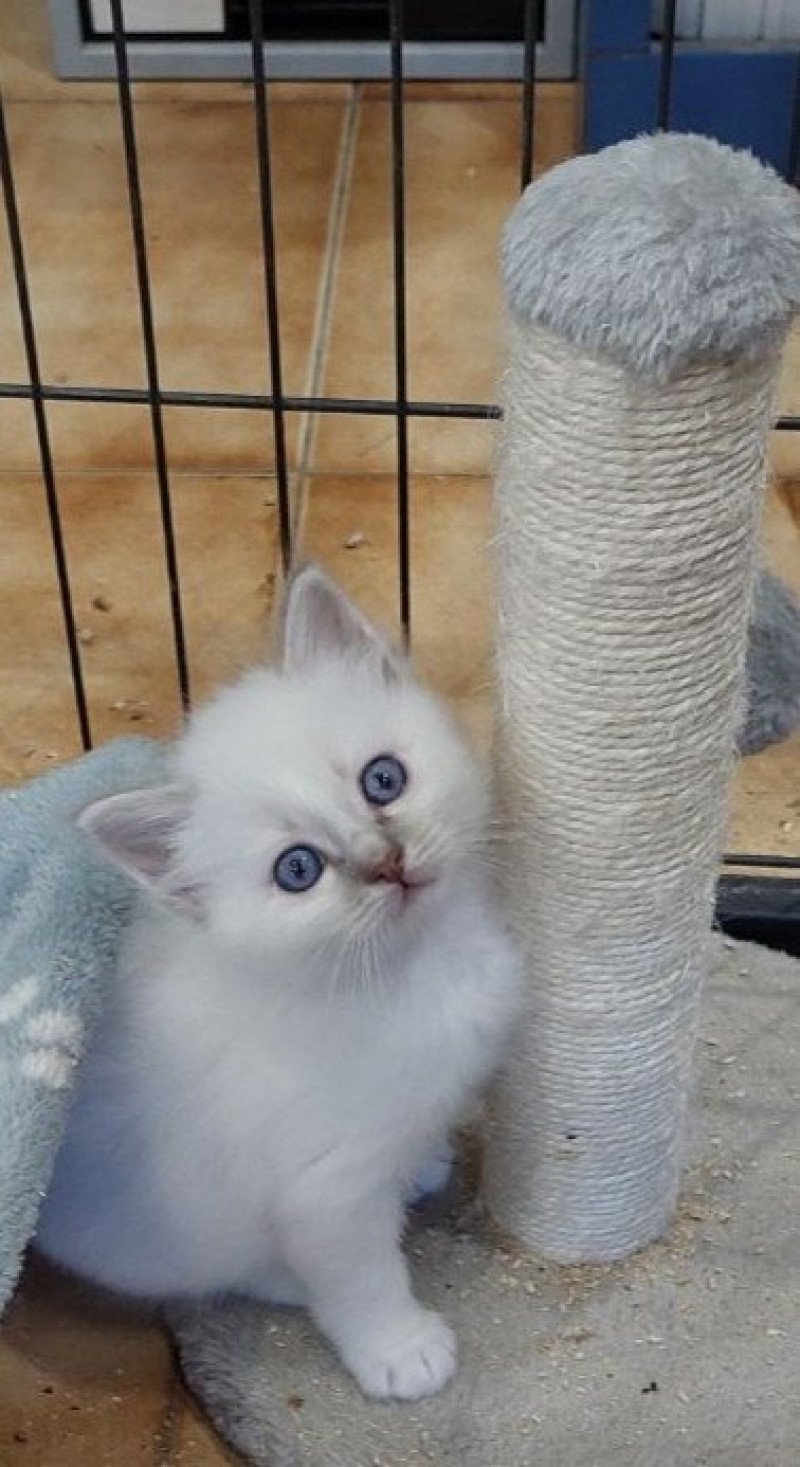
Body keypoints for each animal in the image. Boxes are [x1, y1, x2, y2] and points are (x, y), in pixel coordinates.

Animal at [35, 566, 516, 1402]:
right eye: (299, 869)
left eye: (382, 779)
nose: (386, 862)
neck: (419, 966)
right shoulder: (325, 1191)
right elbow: (359, 1278)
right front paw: (399, 1351)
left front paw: (423, 1159)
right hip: (165, 1229)